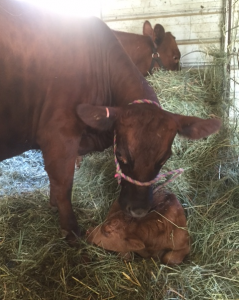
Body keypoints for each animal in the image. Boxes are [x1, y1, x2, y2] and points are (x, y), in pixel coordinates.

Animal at [0, 0, 220, 243]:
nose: (139, 211)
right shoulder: (59, 136)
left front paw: (53, 205)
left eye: (164, 159)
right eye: (120, 154)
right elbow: (63, 185)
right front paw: (71, 232)